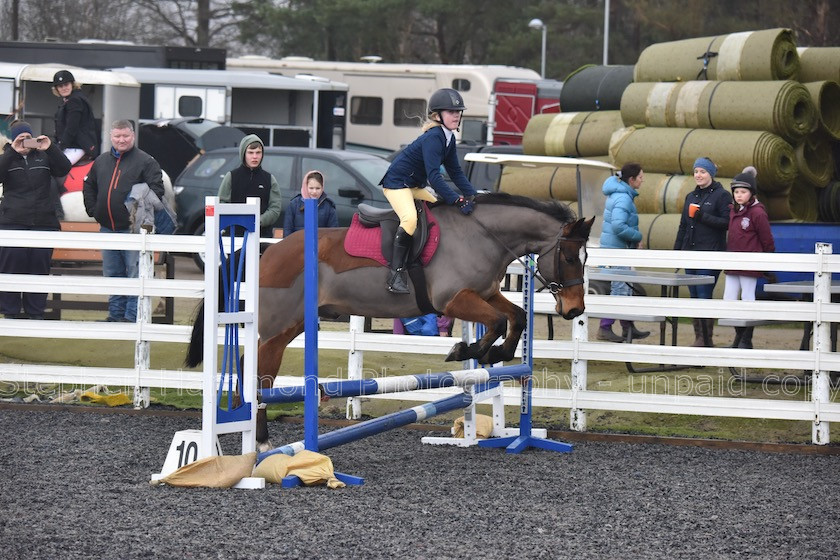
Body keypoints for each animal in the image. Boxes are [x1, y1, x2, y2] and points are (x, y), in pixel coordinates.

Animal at [185, 192, 592, 446]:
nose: (574, 310)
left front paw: (492, 355)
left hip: (292, 326)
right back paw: (262, 442)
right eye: (570, 257)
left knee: (249, 367)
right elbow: (496, 323)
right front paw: (466, 350)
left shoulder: (485, 294)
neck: (483, 235)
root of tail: (266, 253)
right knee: (259, 376)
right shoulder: (454, 301)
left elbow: (516, 317)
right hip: (277, 329)